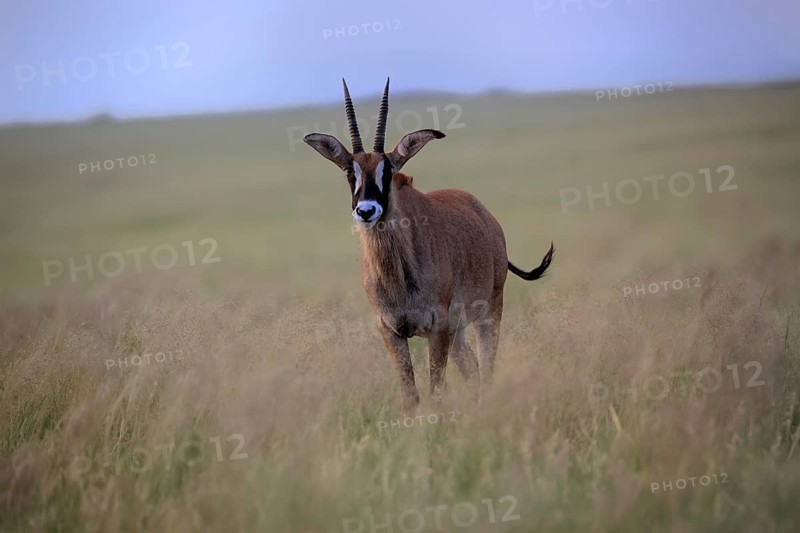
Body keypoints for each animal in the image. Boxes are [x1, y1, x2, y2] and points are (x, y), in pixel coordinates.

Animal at [304, 78, 554, 410]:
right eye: (349, 171)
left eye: (388, 170)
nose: (367, 210)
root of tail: (483, 212)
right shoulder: (391, 330)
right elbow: (410, 395)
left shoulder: (437, 326)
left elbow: (435, 390)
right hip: (458, 331)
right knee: (473, 370)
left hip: (489, 310)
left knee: (487, 369)